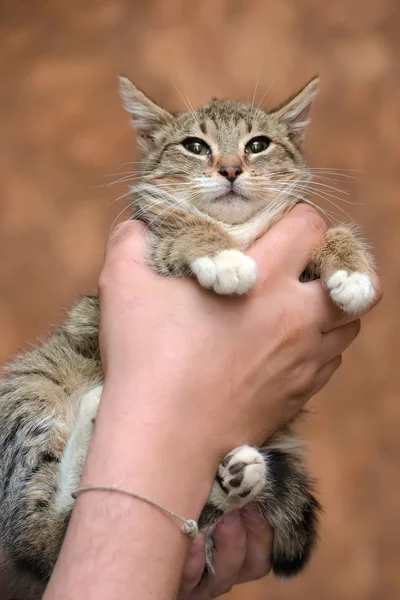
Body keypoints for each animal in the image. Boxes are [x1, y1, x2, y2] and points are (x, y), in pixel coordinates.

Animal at [0, 76, 376, 600]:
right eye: (195, 147)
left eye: (257, 145)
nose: (231, 169)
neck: (239, 228)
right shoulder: (153, 243)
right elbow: (181, 225)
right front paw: (223, 257)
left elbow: (333, 232)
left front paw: (351, 268)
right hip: (29, 389)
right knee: (38, 537)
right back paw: (94, 418)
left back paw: (237, 477)